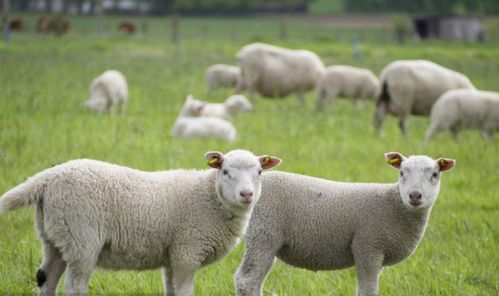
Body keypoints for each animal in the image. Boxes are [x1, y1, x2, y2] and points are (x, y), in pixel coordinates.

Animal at [0, 150, 284, 296]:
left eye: (259, 172)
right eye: (225, 172)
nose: (246, 194)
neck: (208, 198)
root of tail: (49, 177)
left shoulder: (173, 255)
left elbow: (171, 291)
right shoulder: (187, 251)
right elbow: (184, 292)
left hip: (55, 236)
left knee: (46, 278)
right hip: (82, 237)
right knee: (75, 284)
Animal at [236, 153, 456, 296]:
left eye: (435, 175)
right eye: (402, 172)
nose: (415, 195)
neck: (393, 204)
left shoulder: (376, 251)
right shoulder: (368, 246)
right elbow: (367, 290)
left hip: (268, 241)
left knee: (255, 282)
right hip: (262, 234)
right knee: (246, 281)